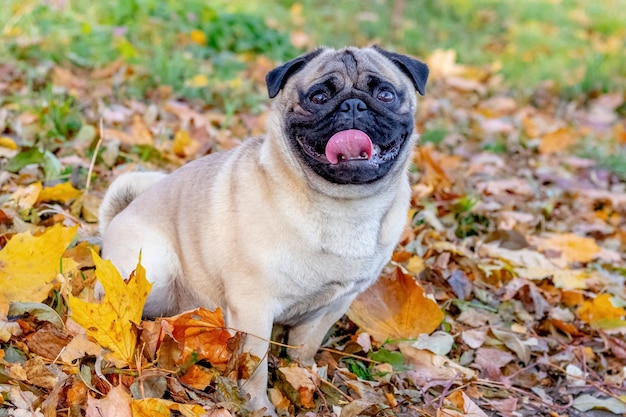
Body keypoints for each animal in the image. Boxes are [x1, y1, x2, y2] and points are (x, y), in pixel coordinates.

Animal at [98, 44, 424, 412]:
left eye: (385, 94)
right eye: (319, 97)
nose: (353, 105)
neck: (343, 205)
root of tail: (116, 218)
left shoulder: (331, 307)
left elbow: (306, 350)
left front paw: (304, 381)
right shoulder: (253, 308)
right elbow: (255, 367)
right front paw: (258, 407)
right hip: (153, 271)